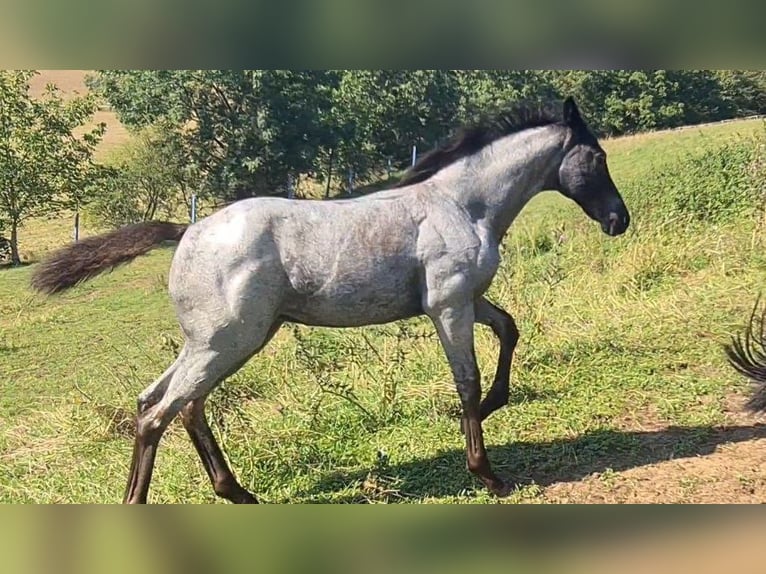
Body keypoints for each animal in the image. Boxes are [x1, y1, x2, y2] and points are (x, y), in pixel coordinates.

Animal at [30, 98, 632, 504]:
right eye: (598, 156)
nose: (618, 220)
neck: (462, 205)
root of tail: (188, 231)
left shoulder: (467, 300)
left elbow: (508, 329)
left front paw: (492, 407)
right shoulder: (450, 305)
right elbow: (466, 378)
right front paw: (487, 474)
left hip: (222, 340)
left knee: (170, 404)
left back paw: (238, 492)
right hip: (227, 341)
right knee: (158, 413)